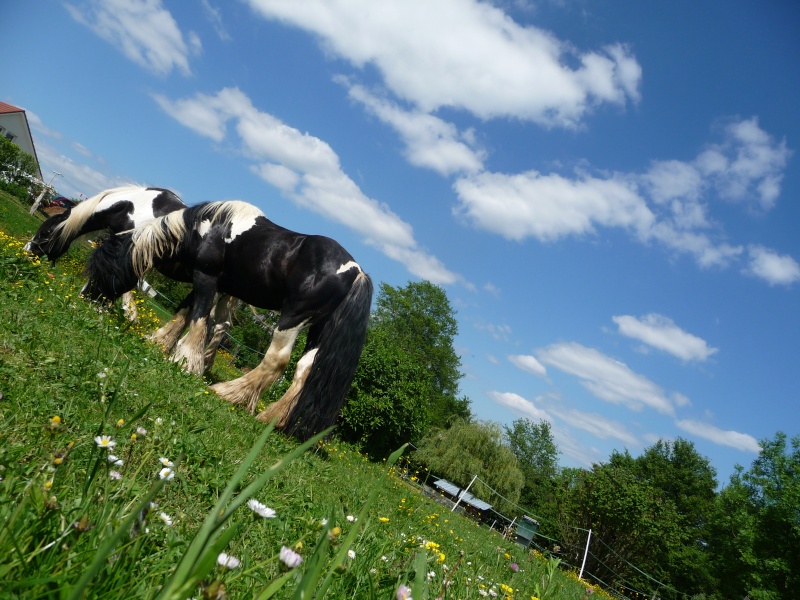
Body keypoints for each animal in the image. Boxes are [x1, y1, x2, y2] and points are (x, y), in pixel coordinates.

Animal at [86, 199, 374, 438]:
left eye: (101, 268)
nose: (86, 298)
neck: (208, 227)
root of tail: (356, 271)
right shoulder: (207, 281)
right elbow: (184, 313)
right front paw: (161, 343)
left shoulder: (206, 276)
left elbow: (199, 320)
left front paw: (186, 362)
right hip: (317, 329)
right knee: (304, 372)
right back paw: (271, 418)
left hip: (293, 318)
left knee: (276, 361)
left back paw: (229, 393)